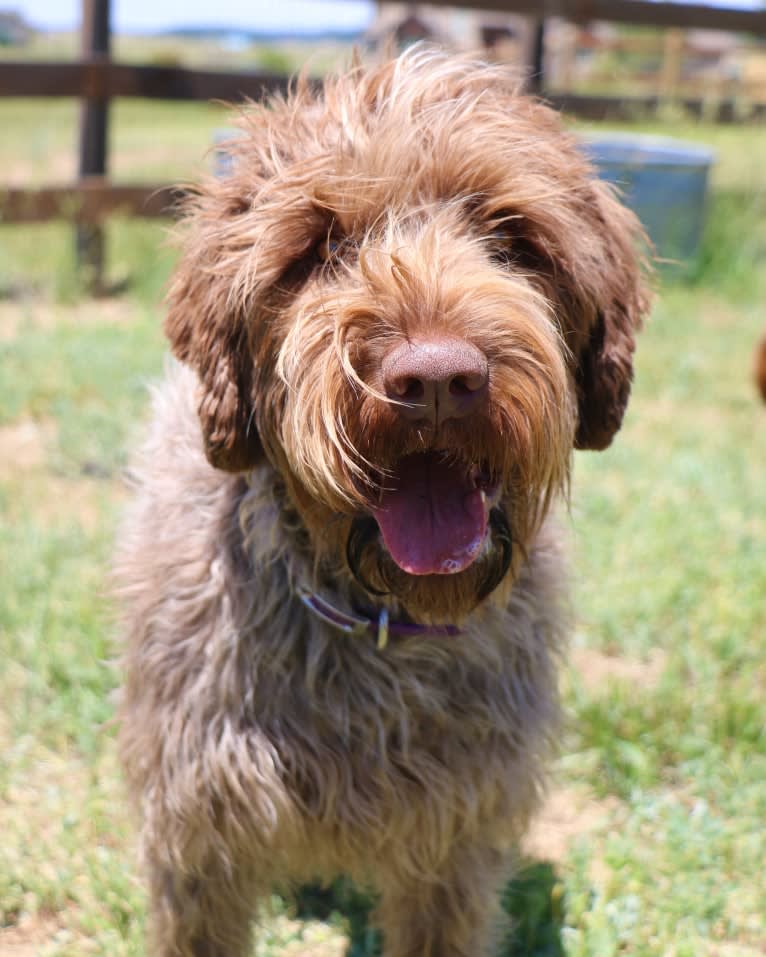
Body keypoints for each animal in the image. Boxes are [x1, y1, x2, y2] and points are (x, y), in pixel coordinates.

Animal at [117, 50, 652, 956]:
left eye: (515, 240)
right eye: (317, 247)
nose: (437, 379)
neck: (378, 619)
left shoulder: (455, 842)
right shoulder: (200, 838)